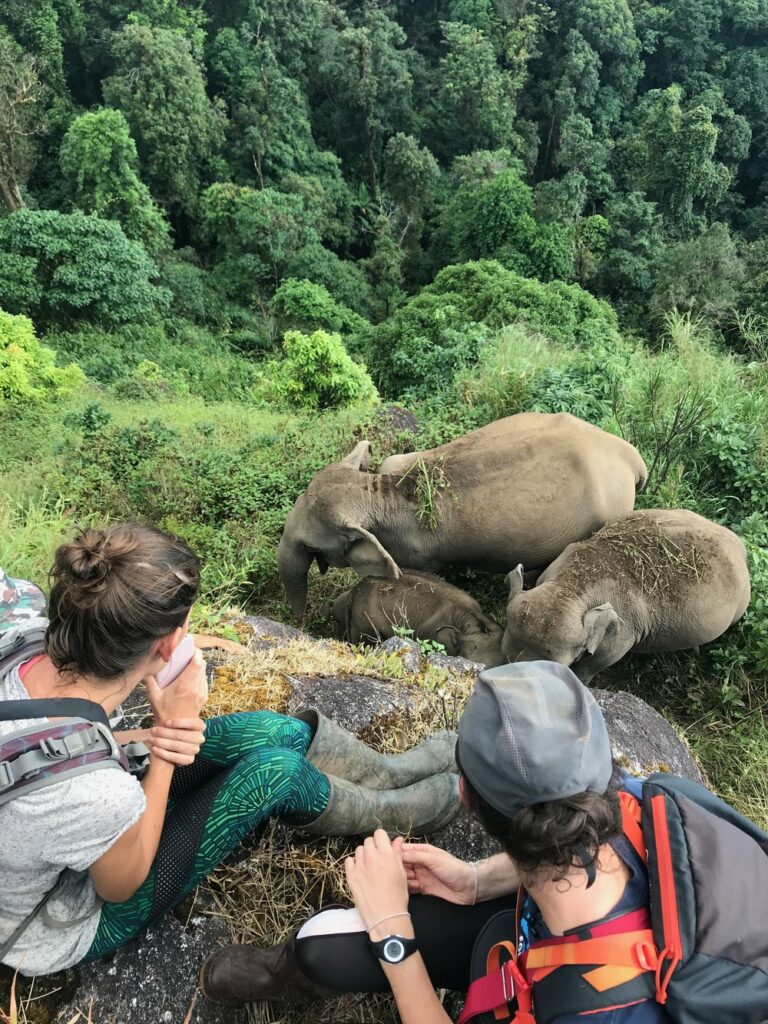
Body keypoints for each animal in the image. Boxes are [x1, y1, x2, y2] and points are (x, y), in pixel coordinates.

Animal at [505, 507, 753, 684]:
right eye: (504, 654)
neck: (571, 588)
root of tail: (738, 542)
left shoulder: (625, 629)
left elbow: (601, 661)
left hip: (741, 605)